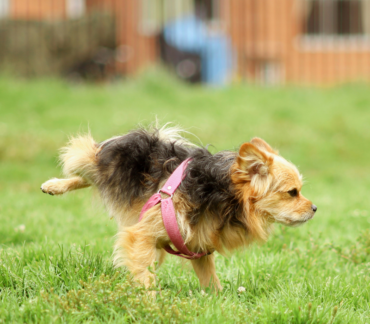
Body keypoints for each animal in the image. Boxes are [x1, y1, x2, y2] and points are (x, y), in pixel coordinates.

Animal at [41, 124, 318, 292]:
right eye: (292, 193)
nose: (315, 208)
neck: (223, 195)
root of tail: (156, 137)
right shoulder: (141, 234)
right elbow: (145, 277)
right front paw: (149, 304)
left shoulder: (198, 245)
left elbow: (211, 281)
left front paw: (219, 303)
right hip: (99, 162)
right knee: (82, 160)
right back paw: (55, 184)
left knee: (88, 178)